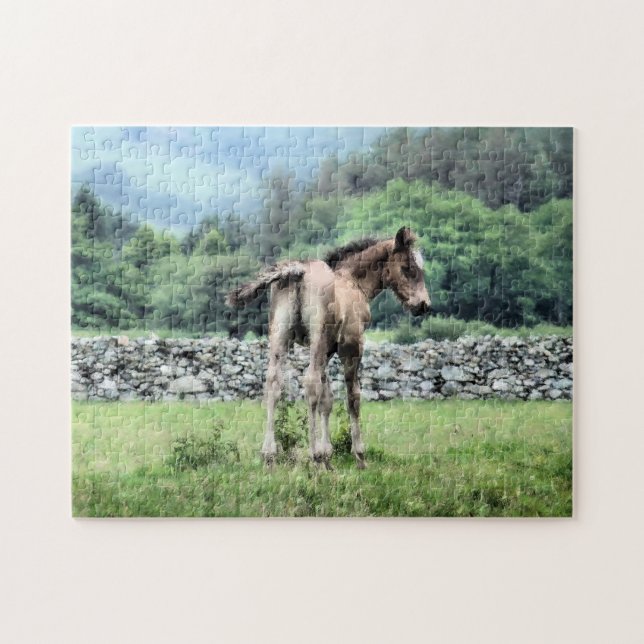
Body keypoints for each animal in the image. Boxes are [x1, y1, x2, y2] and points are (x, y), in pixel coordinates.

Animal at [227, 226, 430, 469]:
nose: (423, 305)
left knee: (274, 382)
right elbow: (353, 397)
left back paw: (269, 455)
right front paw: (358, 455)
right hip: (317, 337)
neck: (353, 282)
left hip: (280, 335)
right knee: (310, 383)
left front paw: (327, 456)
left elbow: (327, 400)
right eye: (408, 268)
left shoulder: (327, 350)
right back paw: (313, 455)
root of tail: (297, 271)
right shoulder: (351, 346)